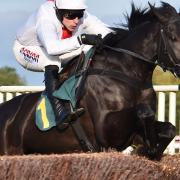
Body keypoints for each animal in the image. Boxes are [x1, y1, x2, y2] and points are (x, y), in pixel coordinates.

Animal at [0, 2, 180, 160]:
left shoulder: (130, 135)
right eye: (173, 36)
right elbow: (144, 111)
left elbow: (169, 128)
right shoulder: (107, 132)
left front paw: (150, 151)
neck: (129, 74)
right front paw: (149, 149)